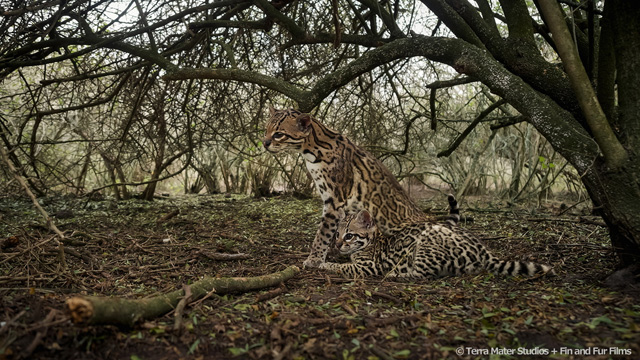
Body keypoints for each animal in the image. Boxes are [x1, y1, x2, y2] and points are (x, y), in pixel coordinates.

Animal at [262, 108, 438, 268]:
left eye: (278, 134)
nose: (264, 143)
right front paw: (332, 250)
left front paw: (314, 258)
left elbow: (323, 233)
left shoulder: (335, 200)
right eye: (266, 130)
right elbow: (336, 230)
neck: (312, 152)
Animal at [322, 208, 552, 278]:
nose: (337, 245)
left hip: (427, 239)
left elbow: (344, 267)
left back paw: (396, 274)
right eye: (336, 234)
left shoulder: (369, 266)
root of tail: (485, 252)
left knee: (420, 274)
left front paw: (324, 263)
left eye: (349, 235)